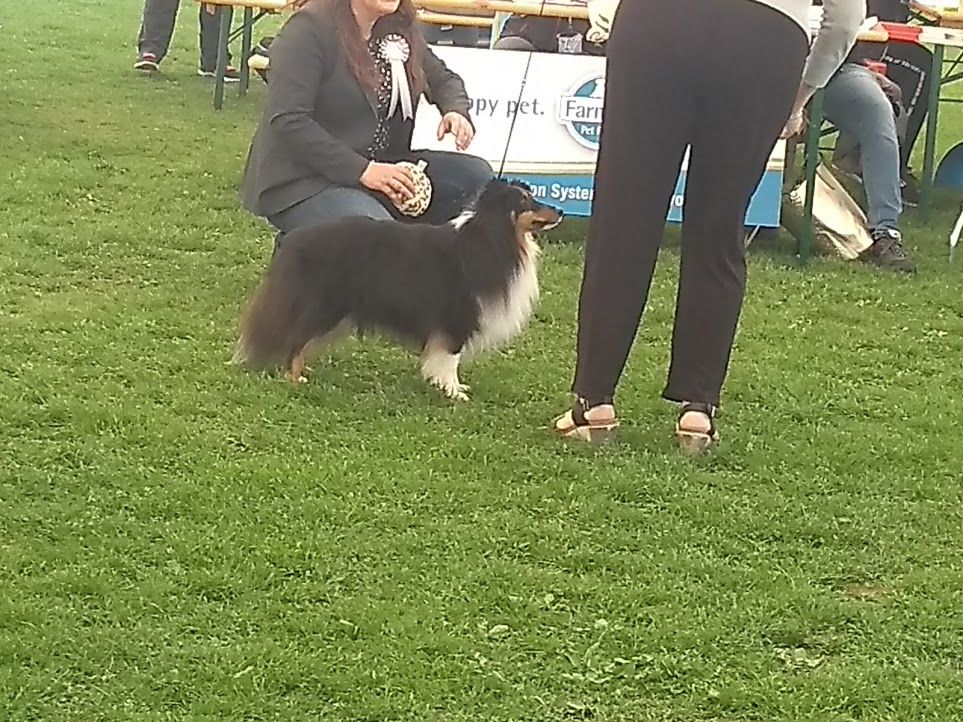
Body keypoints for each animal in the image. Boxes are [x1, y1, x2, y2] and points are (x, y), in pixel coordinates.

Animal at [232, 179, 563, 401]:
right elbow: (450, 356)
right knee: (296, 338)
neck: (493, 236)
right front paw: (452, 391)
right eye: (525, 202)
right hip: (325, 305)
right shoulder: (458, 315)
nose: (559, 210)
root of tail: (295, 241)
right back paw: (295, 378)